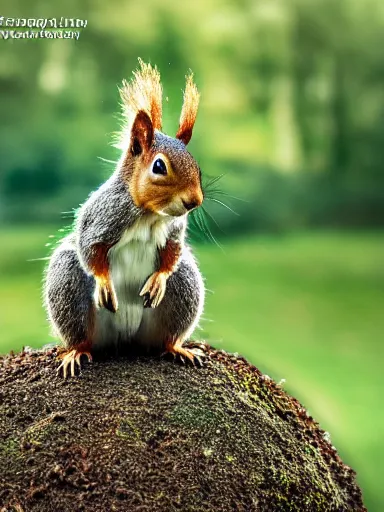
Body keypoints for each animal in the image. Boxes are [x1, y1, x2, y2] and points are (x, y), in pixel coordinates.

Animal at [43, 61, 206, 380]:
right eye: (159, 166)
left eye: (198, 167)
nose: (194, 201)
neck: (150, 215)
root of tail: (126, 340)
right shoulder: (103, 217)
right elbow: (90, 247)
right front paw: (105, 284)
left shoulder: (173, 230)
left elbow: (172, 253)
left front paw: (158, 280)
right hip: (68, 284)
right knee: (80, 334)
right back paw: (76, 352)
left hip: (185, 285)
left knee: (166, 335)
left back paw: (177, 348)